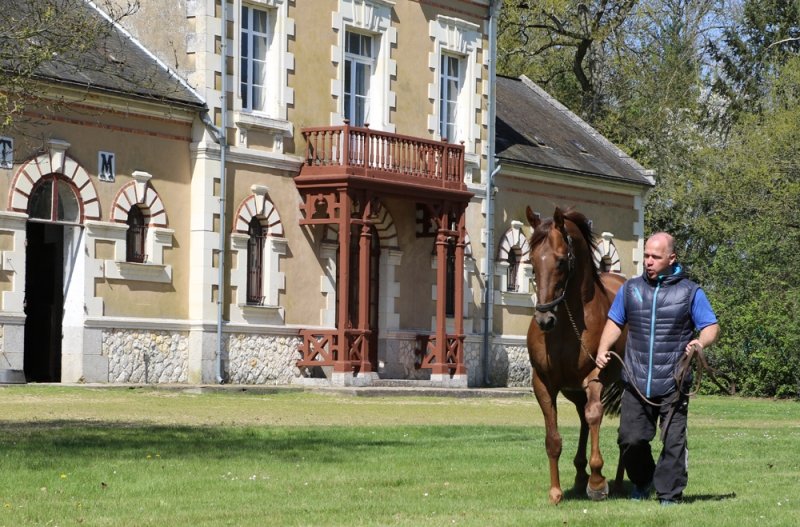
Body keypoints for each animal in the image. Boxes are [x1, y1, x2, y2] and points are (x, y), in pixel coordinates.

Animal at [525, 206, 627, 505]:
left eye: (561, 262)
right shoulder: (544, 384)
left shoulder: (596, 375)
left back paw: (616, 481)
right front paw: (556, 492)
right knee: (582, 418)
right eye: (532, 261)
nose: (544, 318)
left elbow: (595, 416)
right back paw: (580, 474)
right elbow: (553, 439)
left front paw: (598, 481)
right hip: (573, 390)